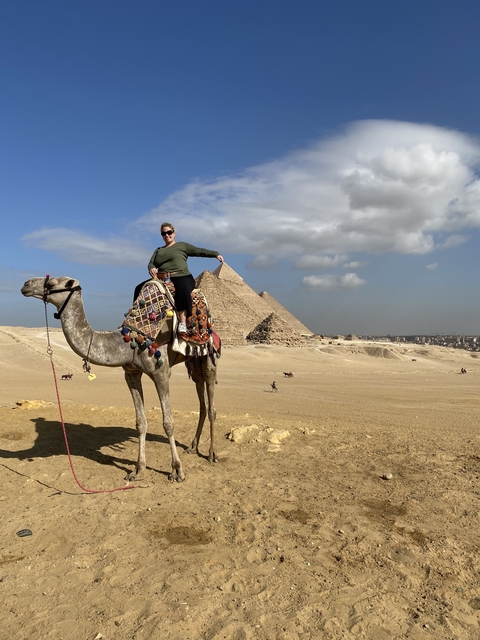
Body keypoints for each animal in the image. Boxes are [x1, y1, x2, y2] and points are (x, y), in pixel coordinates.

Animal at [21, 276, 218, 482]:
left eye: (51, 284)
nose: (26, 285)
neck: (129, 342)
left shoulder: (161, 373)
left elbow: (168, 422)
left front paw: (177, 470)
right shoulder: (131, 374)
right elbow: (140, 422)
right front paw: (138, 470)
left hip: (209, 354)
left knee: (211, 402)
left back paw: (211, 454)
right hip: (193, 360)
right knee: (201, 397)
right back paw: (192, 447)